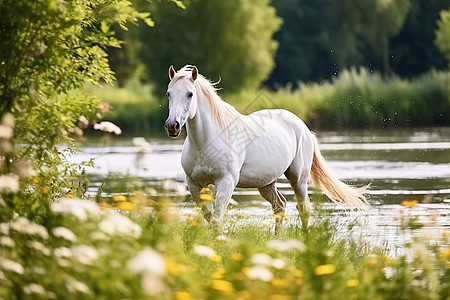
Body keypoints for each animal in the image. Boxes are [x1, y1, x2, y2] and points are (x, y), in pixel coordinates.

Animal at [163, 65, 368, 230]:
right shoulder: (194, 184)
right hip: (266, 183)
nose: (172, 126)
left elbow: (216, 220)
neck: (205, 143)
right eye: (169, 93)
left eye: (190, 94)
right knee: (280, 205)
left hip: (298, 179)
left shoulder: (226, 182)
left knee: (303, 208)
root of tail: (303, 127)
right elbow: (208, 217)